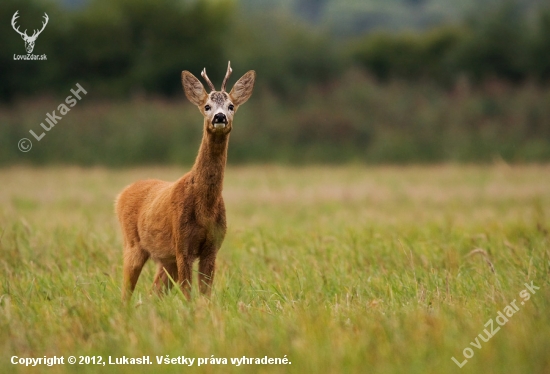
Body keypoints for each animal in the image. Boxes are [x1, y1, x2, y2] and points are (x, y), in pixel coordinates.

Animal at [116, 62, 256, 300]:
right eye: (207, 106)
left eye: (231, 106)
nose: (220, 117)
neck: (205, 209)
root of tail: (121, 194)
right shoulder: (182, 245)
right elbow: (187, 293)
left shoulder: (212, 247)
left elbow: (205, 294)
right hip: (133, 244)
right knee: (126, 291)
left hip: (165, 259)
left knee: (154, 291)